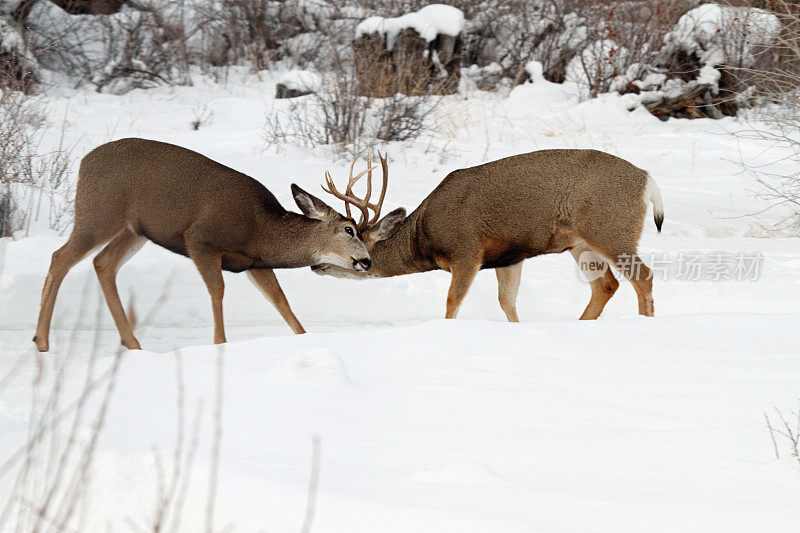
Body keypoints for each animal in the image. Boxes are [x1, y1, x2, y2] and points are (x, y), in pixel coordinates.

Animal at [35, 138, 376, 350]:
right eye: (349, 230)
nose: (367, 261)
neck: (260, 229)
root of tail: (83, 162)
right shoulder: (200, 239)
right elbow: (218, 291)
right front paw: (219, 344)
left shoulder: (254, 262)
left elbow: (281, 301)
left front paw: (304, 337)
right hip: (99, 213)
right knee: (59, 257)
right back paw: (41, 341)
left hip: (135, 230)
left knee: (102, 263)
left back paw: (131, 343)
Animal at [316, 148, 664, 318]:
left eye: (353, 239)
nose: (316, 264)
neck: (424, 238)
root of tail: (647, 179)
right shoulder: (509, 257)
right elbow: (507, 302)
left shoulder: (467, 249)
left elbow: (452, 301)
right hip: (579, 242)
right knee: (606, 285)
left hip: (610, 228)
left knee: (642, 277)